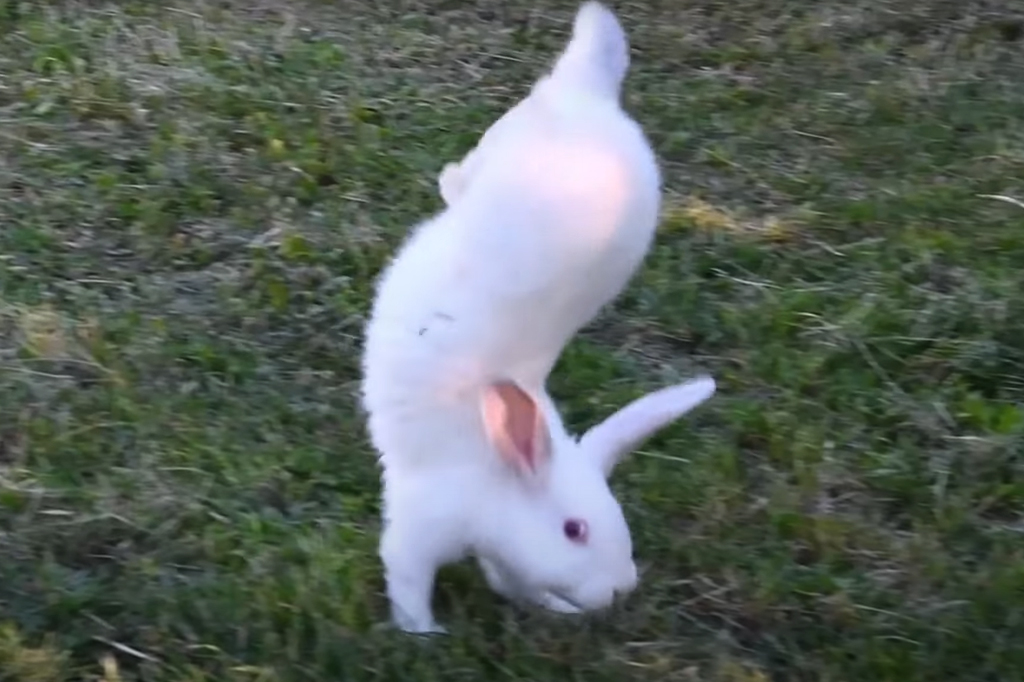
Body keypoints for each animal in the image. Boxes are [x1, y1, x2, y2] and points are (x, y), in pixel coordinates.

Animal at [361, 1, 716, 635]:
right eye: (574, 531)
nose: (619, 590)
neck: (497, 472)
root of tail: (591, 92)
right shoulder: (418, 528)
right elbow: (407, 581)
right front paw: (426, 636)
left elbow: (515, 584)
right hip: (509, 141)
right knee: (472, 164)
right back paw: (450, 177)